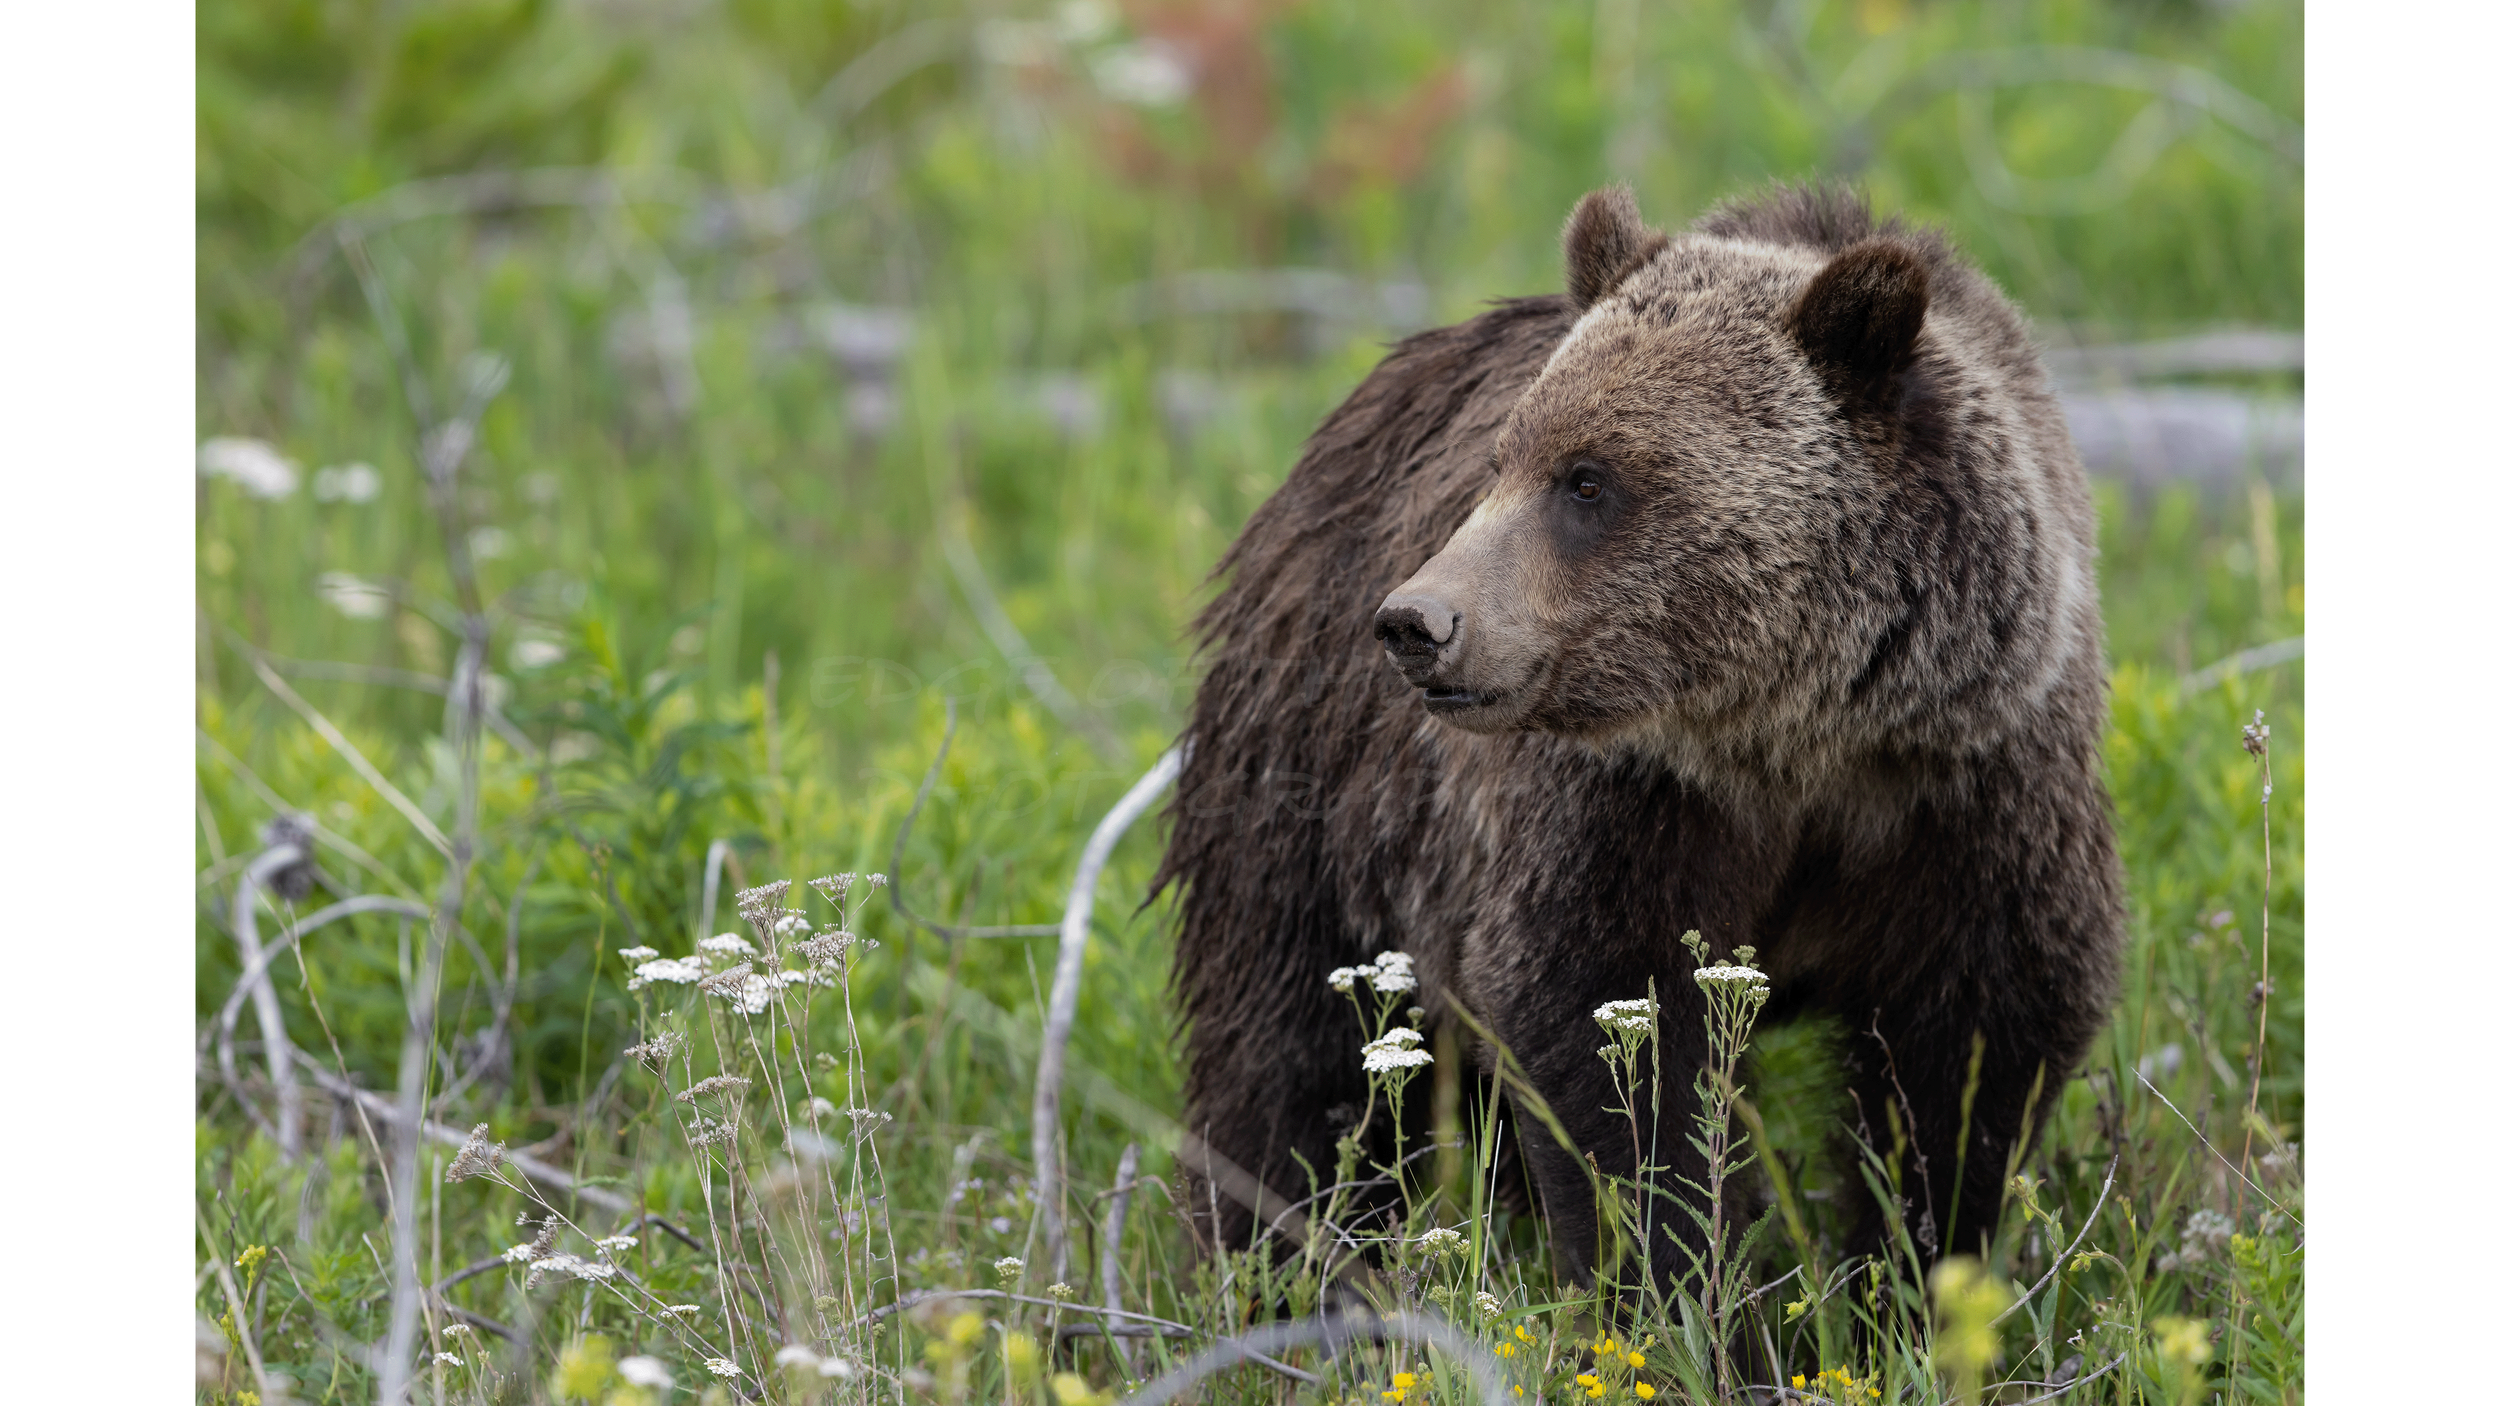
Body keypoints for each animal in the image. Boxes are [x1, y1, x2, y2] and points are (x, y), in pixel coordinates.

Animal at [1155, 183, 2125, 1297]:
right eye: (1502, 462)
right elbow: (1606, 1027)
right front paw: (1681, 1282)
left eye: (1588, 479)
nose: (1416, 621)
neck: (1790, 735)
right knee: (1288, 1051)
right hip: (1315, 785)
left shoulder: (1967, 786)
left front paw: (1903, 1277)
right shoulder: (1625, 804)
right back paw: (1274, 1266)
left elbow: (1970, 1052)